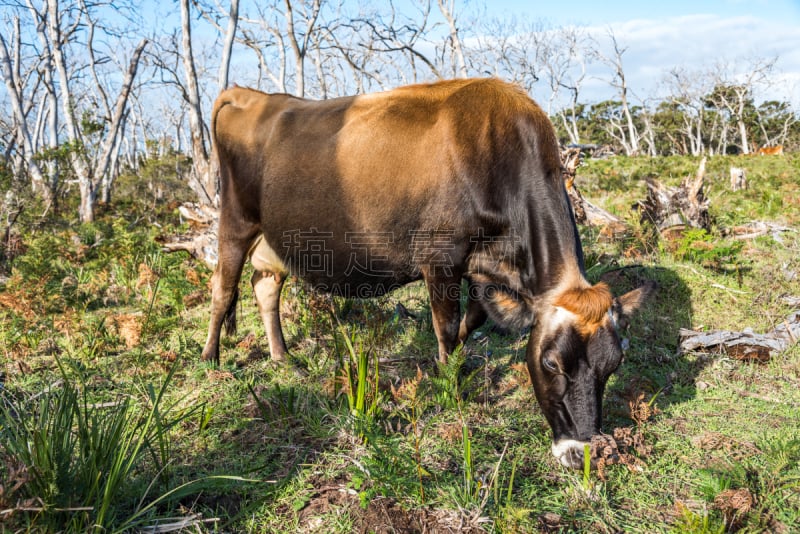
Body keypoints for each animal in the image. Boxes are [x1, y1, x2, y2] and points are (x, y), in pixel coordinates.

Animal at [203, 79, 652, 468]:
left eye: (613, 365)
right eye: (552, 364)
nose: (581, 453)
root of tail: (248, 93)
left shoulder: (482, 269)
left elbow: (472, 321)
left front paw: (456, 370)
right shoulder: (440, 259)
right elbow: (446, 328)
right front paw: (450, 385)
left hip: (273, 239)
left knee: (265, 287)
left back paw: (283, 358)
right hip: (235, 220)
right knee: (222, 286)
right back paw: (212, 359)